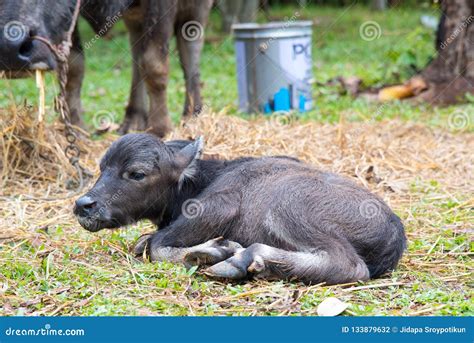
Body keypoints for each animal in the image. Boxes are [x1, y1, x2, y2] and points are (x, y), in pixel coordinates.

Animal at [0, 0, 213, 137]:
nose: (9, 50)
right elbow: (74, 67)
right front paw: (76, 128)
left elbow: (154, 65)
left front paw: (160, 129)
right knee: (137, 45)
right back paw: (134, 119)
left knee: (191, 43)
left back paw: (192, 114)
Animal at [74, 134, 408, 284]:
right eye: (102, 167)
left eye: (137, 173)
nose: (84, 205)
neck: (205, 178)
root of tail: (395, 231)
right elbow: (146, 242)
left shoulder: (218, 206)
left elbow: (156, 245)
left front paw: (212, 251)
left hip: (288, 205)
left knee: (350, 265)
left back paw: (238, 260)